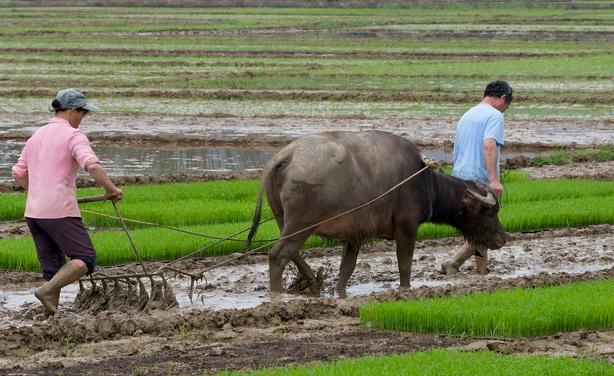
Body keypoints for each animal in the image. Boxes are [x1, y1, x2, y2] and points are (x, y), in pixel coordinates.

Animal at [248, 131, 508, 296]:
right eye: (490, 211)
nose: (503, 238)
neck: (425, 182)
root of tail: (287, 155)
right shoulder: (406, 227)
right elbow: (405, 264)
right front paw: (405, 290)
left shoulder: (354, 236)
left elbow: (347, 269)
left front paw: (340, 293)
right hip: (301, 223)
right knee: (278, 255)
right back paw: (278, 297)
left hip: (283, 219)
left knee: (292, 253)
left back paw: (311, 279)